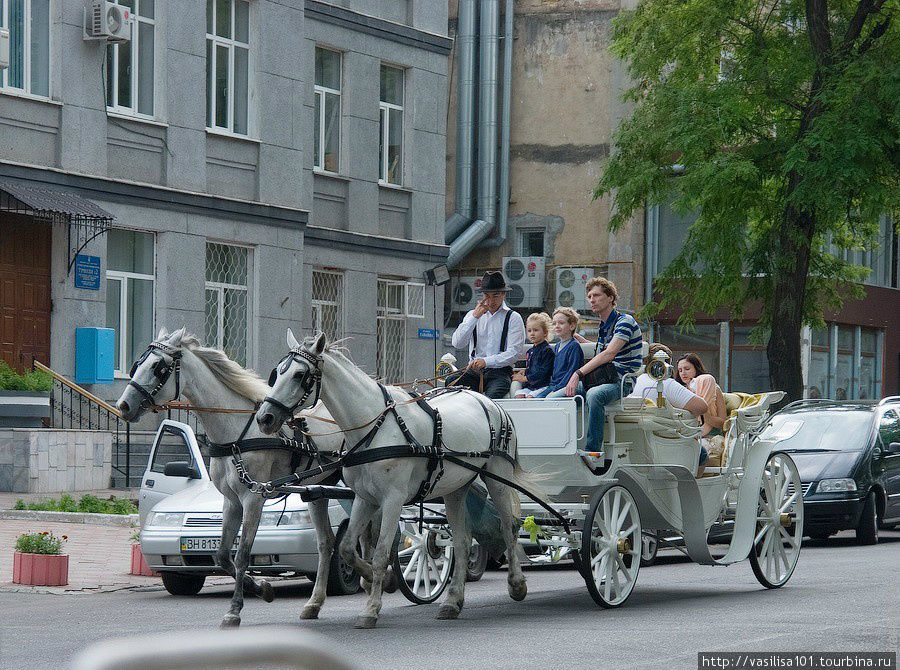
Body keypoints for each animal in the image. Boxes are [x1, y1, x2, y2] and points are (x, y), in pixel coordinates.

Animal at [111, 330, 348, 632]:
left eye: (158, 368)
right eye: (137, 364)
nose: (123, 406)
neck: (237, 434)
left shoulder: (253, 499)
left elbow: (243, 554)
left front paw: (234, 610)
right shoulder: (231, 502)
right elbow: (224, 555)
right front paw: (262, 588)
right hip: (318, 492)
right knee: (326, 543)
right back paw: (315, 603)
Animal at [253, 330, 540, 632]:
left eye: (300, 375)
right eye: (277, 373)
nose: (265, 418)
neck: (375, 427)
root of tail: (488, 401)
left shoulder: (393, 500)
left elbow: (380, 553)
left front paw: (371, 607)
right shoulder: (365, 498)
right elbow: (346, 548)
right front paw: (378, 581)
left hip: (498, 476)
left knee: (508, 527)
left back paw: (516, 585)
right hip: (455, 488)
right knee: (462, 541)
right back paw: (452, 601)